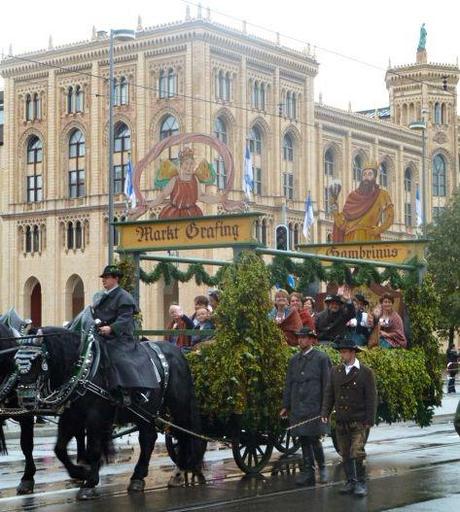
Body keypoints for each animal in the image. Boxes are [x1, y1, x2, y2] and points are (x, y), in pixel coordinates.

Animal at [15, 326, 204, 498]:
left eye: (36, 360)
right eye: (16, 361)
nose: (25, 400)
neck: (83, 368)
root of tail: (177, 352)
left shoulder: (95, 416)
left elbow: (93, 448)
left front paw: (89, 482)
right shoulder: (71, 416)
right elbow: (59, 449)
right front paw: (81, 473)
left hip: (178, 406)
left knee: (183, 435)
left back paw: (179, 471)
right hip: (147, 412)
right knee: (149, 439)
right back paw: (138, 477)